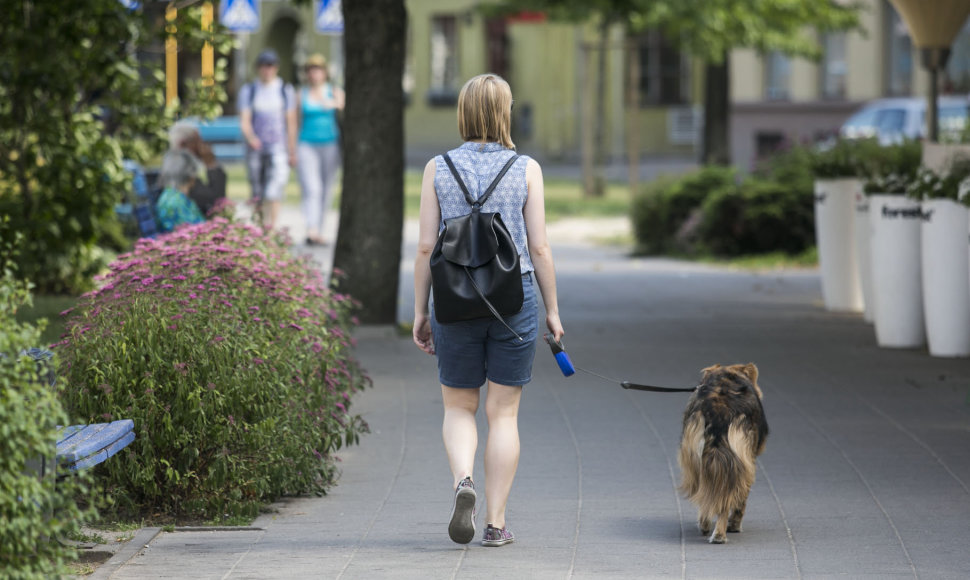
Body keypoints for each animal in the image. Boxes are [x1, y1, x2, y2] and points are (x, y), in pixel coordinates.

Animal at [676, 362, 768, 544]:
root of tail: (719, 407)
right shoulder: (748, 461)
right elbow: (741, 500)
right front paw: (735, 525)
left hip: (696, 458)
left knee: (706, 491)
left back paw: (705, 525)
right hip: (740, 461)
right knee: (726, 498)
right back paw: (720, 534)